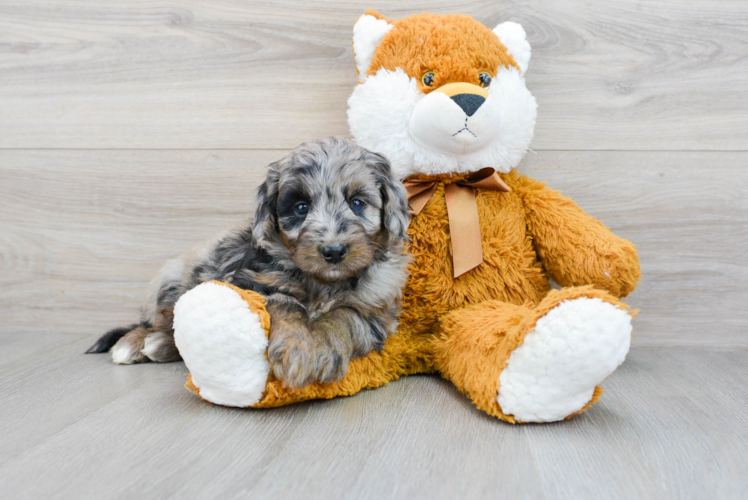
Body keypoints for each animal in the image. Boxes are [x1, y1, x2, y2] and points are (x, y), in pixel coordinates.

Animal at [91, 137, 414, 386]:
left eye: (357, 203)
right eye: (301, 207)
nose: (333, 251)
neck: (322, 283)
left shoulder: (377, 312)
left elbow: (344, 316)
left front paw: (321, 349)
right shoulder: (250, 284)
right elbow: (286, 304)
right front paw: (297, 350)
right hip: (170, 283)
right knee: (158, 323)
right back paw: (135, 344)